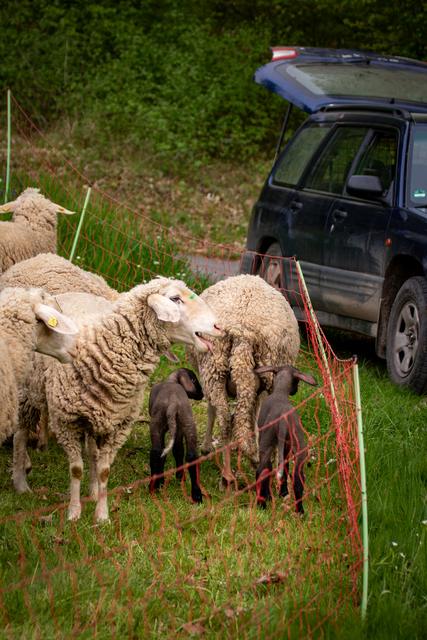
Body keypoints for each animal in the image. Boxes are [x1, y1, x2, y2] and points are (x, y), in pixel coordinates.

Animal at [149, 368, 204, 503]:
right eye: (194, 379)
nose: (202, 393)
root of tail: (172, 403)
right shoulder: (179, 430)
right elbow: (178, 451)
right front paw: (180, 477)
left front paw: (163, 481)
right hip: (188, 423)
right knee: (191, 456)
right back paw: (197, 496)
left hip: (156, 424)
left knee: (156, 452)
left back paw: (154, 486)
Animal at [192, 274, 300, 482]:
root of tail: (242, 331)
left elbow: (212, 410)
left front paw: (207, 447)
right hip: (262, 376)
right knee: (243, 418)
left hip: (215, 368)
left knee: (226, 418)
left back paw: (228, 473)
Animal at [254, 364, 317, 514]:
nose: (296, 390)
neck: (280, 392)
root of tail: (283, 418)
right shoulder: (287, 447)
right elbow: (286, 468)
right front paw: (282, 492)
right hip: (300, 449)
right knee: (297, 480)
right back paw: (300, 511)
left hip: (266, 445)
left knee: (262, 472)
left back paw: (262, 504)